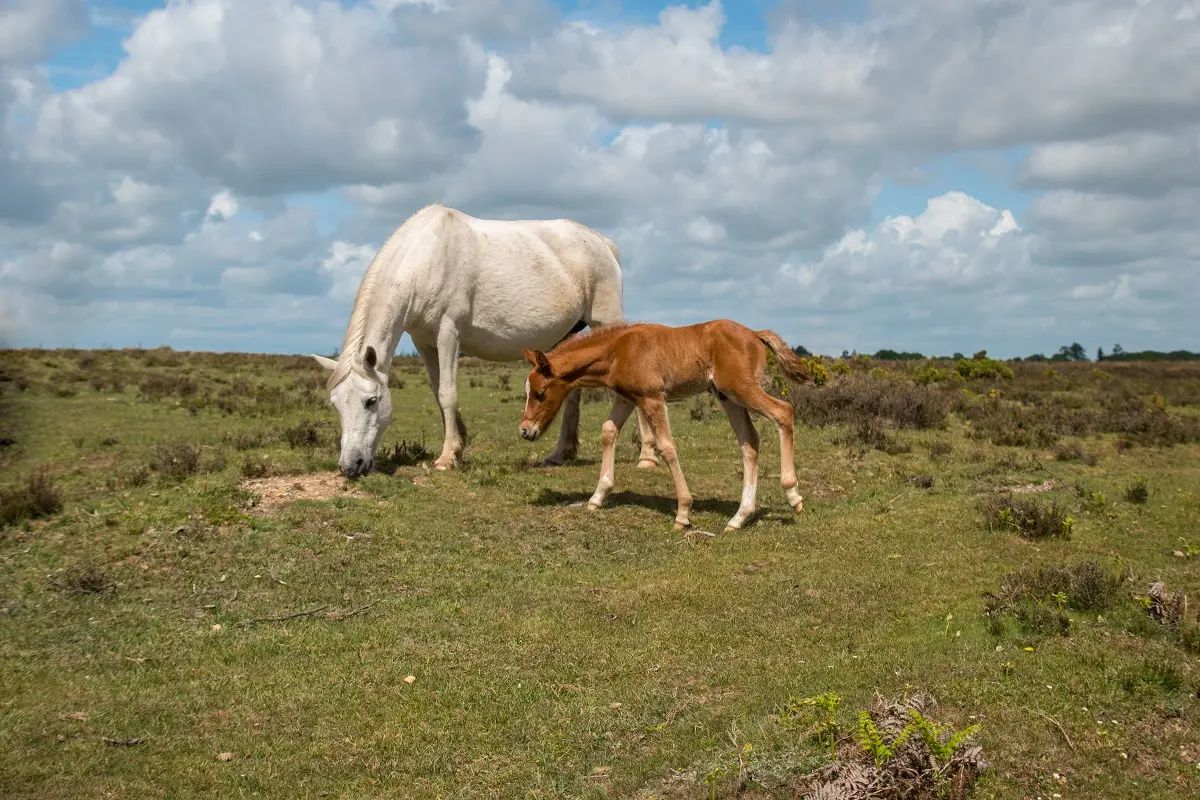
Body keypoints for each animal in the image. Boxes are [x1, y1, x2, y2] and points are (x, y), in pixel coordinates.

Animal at [312, 204, 658, 475]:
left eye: (371, 401)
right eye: (335, 404)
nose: (350, 466)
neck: (426, 260)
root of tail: (603, 243)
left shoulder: (448, 333)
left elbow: (448, 393)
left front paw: (446, 457)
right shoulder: (424, 341)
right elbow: (438, 392)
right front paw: (458, 446)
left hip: (606, 321)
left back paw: (647, 456)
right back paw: (561, 453)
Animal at [518, 320, 815, 532]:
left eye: (540, 393)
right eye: (528, 391)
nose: (525, 430)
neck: (618, 350)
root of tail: (755, 334)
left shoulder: (652, 398)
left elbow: (666, 446)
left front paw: (683, 513)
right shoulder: (627, 398)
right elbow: (608, 431)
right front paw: (598, 496)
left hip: (740, 388)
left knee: (783, 412)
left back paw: (793, 496)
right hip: (727, 396)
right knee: (750, 441)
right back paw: (739, 517)